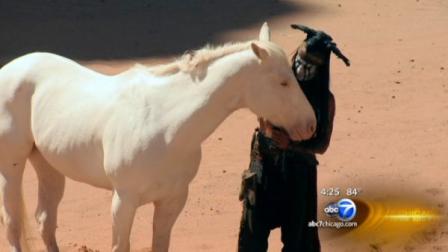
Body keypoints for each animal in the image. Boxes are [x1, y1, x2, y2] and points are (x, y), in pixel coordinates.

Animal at [0, 22, 316, 251]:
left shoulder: (172, 200)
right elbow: (121, 246)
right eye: (283, 82)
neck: (166, 127)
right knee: (13, 223)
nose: (311, 126)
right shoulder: (123, 201)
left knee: (45, 220)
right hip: (12, 167)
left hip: (48, 165)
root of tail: (12, 68)